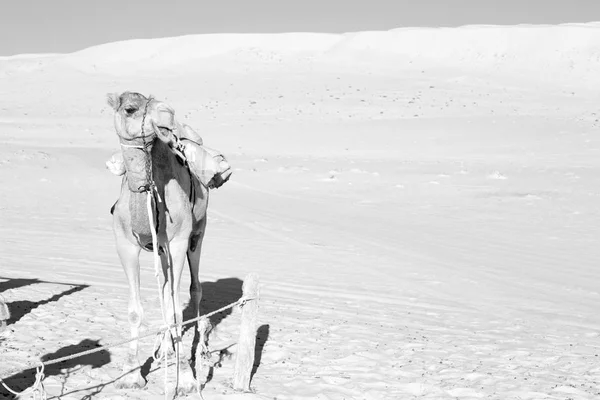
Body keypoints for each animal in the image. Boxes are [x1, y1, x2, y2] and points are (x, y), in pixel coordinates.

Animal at [107, 91, 213, 394]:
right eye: (130, 109)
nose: (168, 112)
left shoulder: (178, 242)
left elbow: (177, 309)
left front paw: (186, 379)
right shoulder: (125, 244)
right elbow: (135, 310)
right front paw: (131, 374)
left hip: (198, 233)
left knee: (194, 288)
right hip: (161, 249)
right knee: (166, 288)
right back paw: (165, 348)